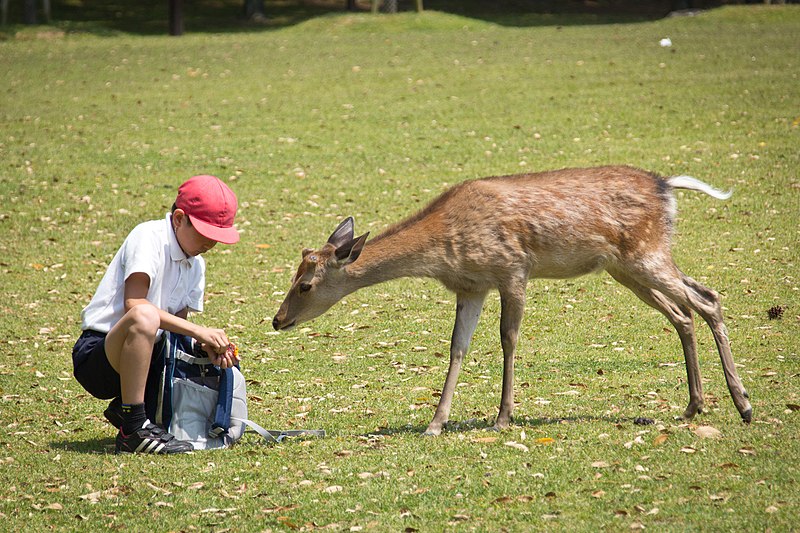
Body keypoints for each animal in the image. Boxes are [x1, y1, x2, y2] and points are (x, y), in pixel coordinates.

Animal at [272, 166, 752, 436]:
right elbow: (457, 347)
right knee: (685, 311)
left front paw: (503, 418)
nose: (277, 320)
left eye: (305, 285)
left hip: (645, 254)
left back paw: (743, 404)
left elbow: (508, 339)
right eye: (294, 274)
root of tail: (667, 187)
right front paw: (435, 424)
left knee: (708, 299)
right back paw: (693, 406)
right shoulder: (471, 286)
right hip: (626, 268)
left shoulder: (512, 270)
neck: (445, 249)